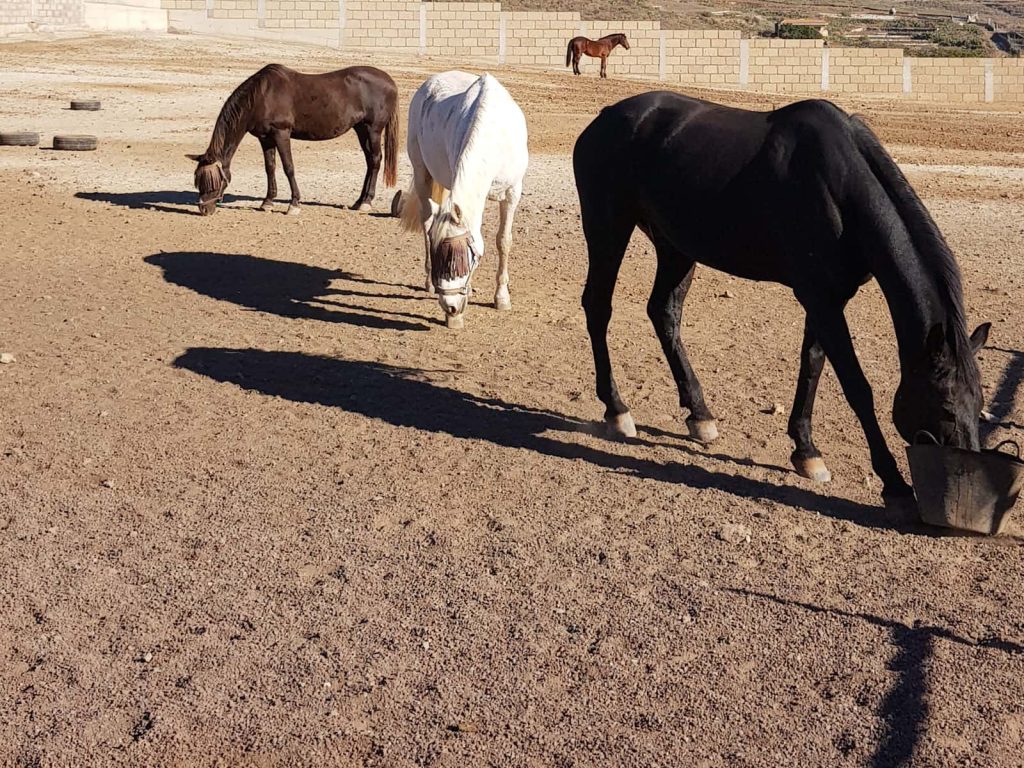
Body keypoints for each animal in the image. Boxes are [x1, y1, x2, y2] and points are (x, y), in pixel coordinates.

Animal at [187, 64, 399, 217]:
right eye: (198, 180)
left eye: (213, 180)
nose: (204, 210)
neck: (262, 96)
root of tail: (390, 81)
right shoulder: (265, 139)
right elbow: (270, 168)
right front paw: (267, 202)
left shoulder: (281, 133)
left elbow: (288, 167)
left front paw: (294, 204)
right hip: (361, 129)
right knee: (370, 162)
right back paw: (358, 201)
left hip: (373, 130)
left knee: (375, 160)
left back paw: (366, 203)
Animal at [400, 71, 529, 330]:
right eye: (440, 256)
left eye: (465, 257)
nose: (450, 307)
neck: (494, 135)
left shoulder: (512, 193)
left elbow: (504, 241)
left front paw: (502, 298)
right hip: (422, 173)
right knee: (427, 222)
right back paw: (428, 281)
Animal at [573, 91, 991, 515]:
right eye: (945, 407)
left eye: (979, 406)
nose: (964, 481)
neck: (838, 188)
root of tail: (607, 117)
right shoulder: (821, 300)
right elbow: (856, 387)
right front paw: (895, 484)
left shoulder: (827, 299)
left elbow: (812, 366)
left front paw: (806, 451)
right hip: (608, 229)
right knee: (598, 308)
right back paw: (617, 410)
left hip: (675, 248)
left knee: (663, 313)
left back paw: (700, 414)